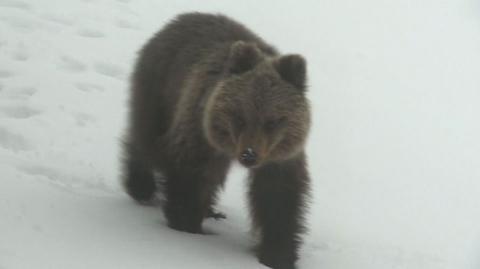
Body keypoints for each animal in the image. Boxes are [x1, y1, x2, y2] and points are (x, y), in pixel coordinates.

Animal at [123, 12, 312, 268]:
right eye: (240, 116)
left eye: (272, 121)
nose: (249, 155)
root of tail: (180, 18)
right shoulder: (199, 133)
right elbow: (189, 174)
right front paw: (185, 223)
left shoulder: (279, 156)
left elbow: (278, 199)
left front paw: (278, 254)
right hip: (161, 90)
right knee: (149, 142)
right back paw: (140, 185)